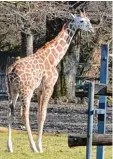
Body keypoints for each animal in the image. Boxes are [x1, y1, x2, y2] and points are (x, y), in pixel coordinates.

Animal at [6, 10, 94, 153]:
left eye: (89, 20)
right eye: (81, 21)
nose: (91, 29)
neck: (54, 58)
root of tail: (11, 70)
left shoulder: (40, 89)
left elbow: (38, 114)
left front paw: (39, 144)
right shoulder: (49, 86)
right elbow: (43, 114)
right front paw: (39, 147)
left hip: (12, 91)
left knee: (10, 113)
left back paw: (9, 147)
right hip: (26, 91)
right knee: (24, 114)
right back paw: (32, 147)